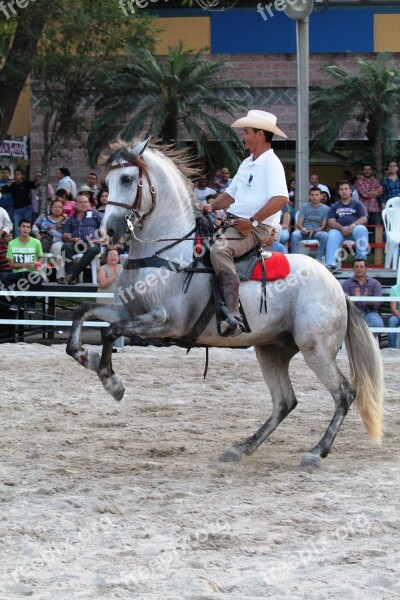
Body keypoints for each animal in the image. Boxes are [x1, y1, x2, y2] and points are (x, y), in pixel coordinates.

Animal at [66, 138, 384, 466]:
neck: (169, 252)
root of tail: (337, 287)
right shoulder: (130, 311)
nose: (110, 231)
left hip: (316, 351)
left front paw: (111, 380)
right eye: (107, 182)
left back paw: (317, 450)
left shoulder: (166, 322)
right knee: (285, 401)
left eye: (128, 179)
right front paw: (85, 356)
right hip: (272, 351)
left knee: (344, 394)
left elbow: (110, 332)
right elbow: (83, 312)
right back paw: (243, 446)